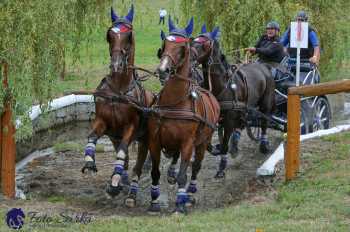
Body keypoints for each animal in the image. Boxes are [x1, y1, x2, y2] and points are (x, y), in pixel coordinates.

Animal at [82, 5, 154, 205]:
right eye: (109, 35)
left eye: (128, 35)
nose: (116, 64)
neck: (119, 91)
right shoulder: (103, 122)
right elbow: (91, 138)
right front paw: (89, 164)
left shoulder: (130, 127)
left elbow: (122, 152)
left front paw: (114, 184)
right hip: (114, 136)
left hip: (144, 140)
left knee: (137, 165)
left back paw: (131, 192)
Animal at [146, 17, 220, 214]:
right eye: (164, 44)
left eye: (182, 47)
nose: (163, 70)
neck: (175, 103)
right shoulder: (154, 141)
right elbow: (155, 172)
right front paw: (154, 201)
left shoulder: (188, 143)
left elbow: (183, 174)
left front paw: (180, 204)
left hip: (202, 142)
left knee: (195, 166)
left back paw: (190, 193)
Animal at [191, 24, 276, 178]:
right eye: (193, 41)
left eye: (204, 45)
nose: (189, 57)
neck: (221, 86)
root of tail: (264, 66)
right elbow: (209, 143)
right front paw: (217, 149)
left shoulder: (229, 120)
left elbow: (225, 143)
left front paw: (222, 167)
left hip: (265, 104)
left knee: (264, 122)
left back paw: (263, 144)